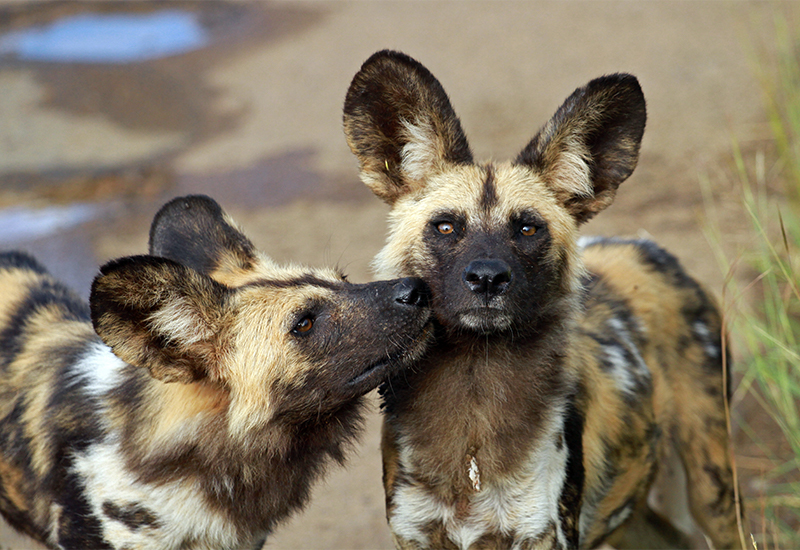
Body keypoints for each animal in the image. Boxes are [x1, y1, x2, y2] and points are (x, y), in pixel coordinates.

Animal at [342, 49, 744, 548]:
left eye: (528, 229)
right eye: (446, 227)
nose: (488, 278)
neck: (475, 398)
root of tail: (650, 247)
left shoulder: (542, 532)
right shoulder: (416, 533)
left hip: (713, 490)